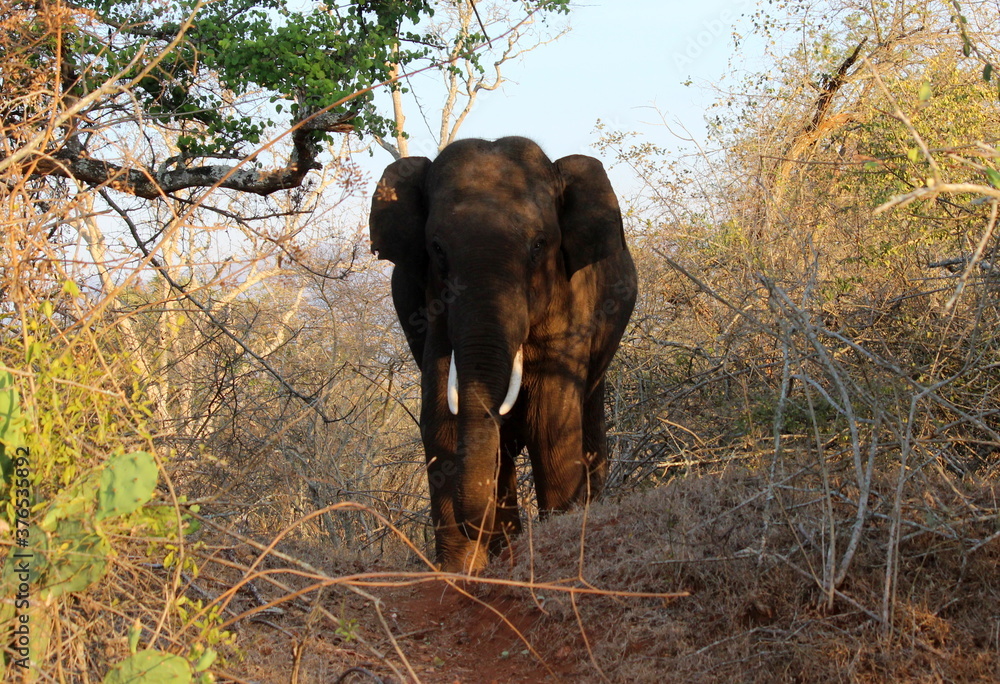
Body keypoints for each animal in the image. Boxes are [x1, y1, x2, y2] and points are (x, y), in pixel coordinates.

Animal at [369, 136, 636, 573]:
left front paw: (557, 540)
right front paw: (460, 571)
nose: (476, 526)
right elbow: (442, 417)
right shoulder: (432, 309)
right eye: (436, 248)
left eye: (539, 244)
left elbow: (550, 415)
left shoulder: (574, 299)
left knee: (587, 411)